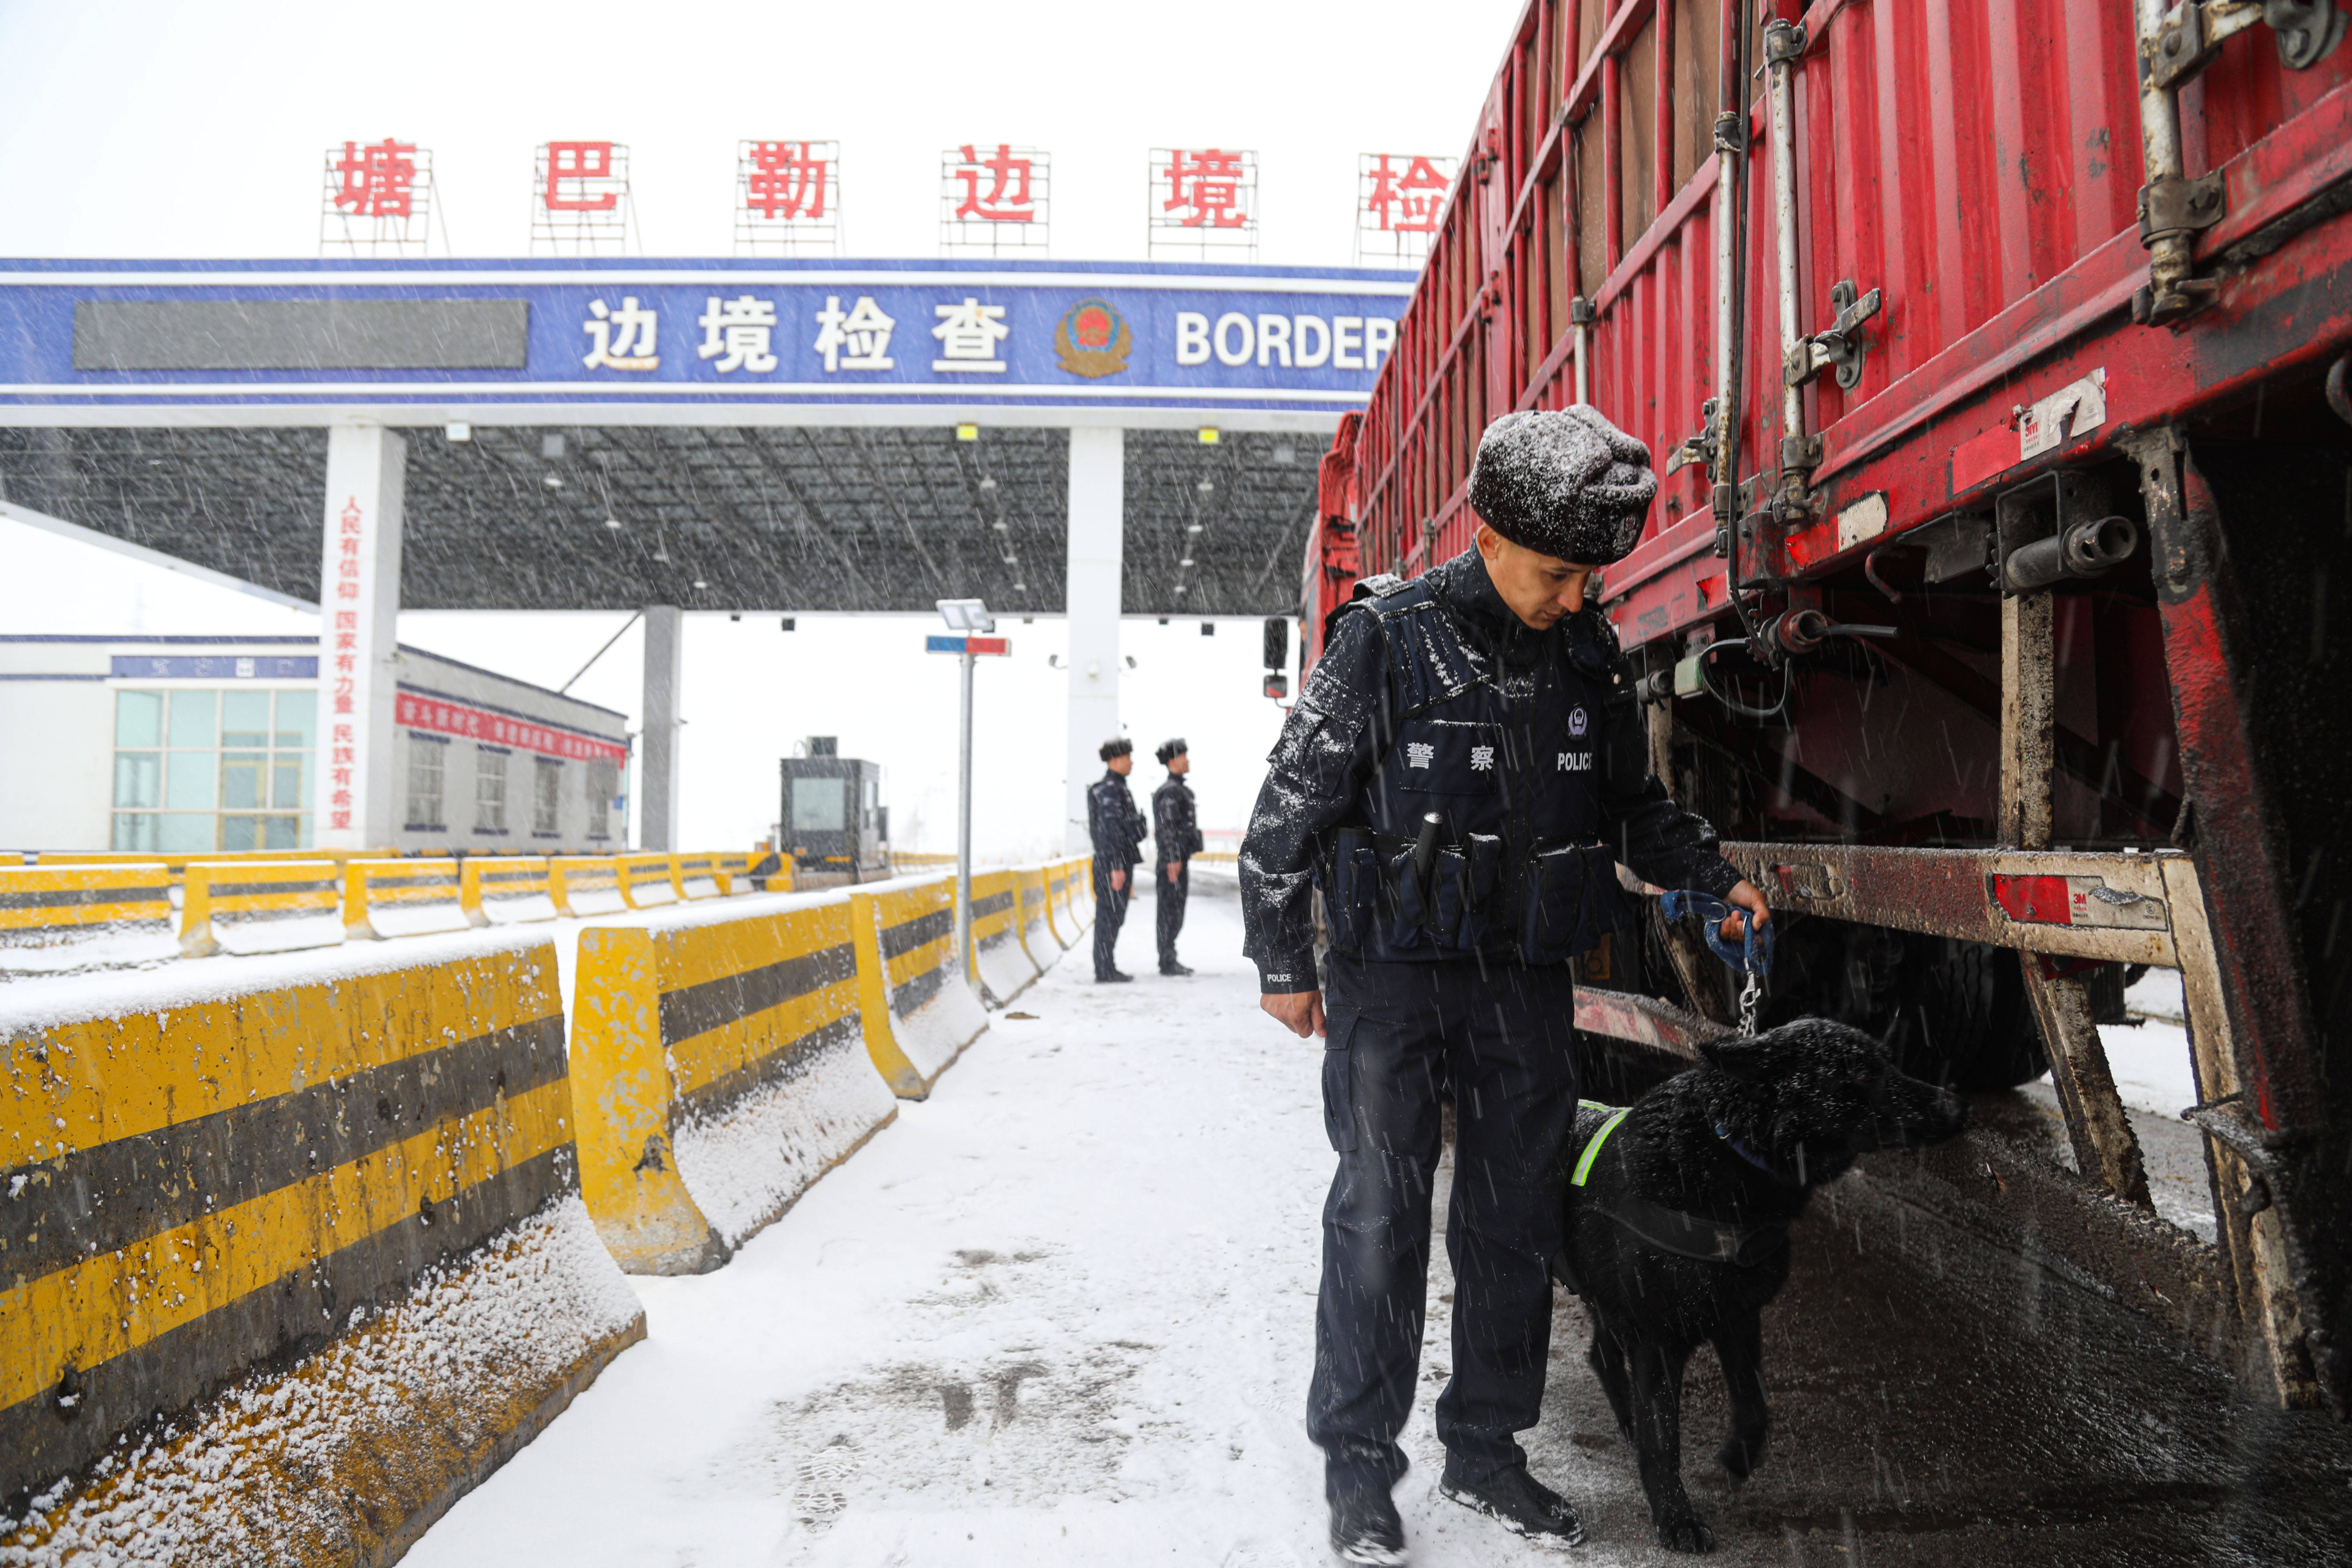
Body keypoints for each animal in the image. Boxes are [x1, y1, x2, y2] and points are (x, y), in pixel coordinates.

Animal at [1552, 1020, 1957, 1561]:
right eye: (1865, 1073)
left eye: (1890, 1061)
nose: (1956, 1104)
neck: (1724, 1154)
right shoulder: (1659, 1339)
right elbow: (1664, 1441)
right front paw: (1676, 1519)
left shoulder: (1739, 1317)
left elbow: (1753, 1402)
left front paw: (1738, 1457)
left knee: (1600, 1352)